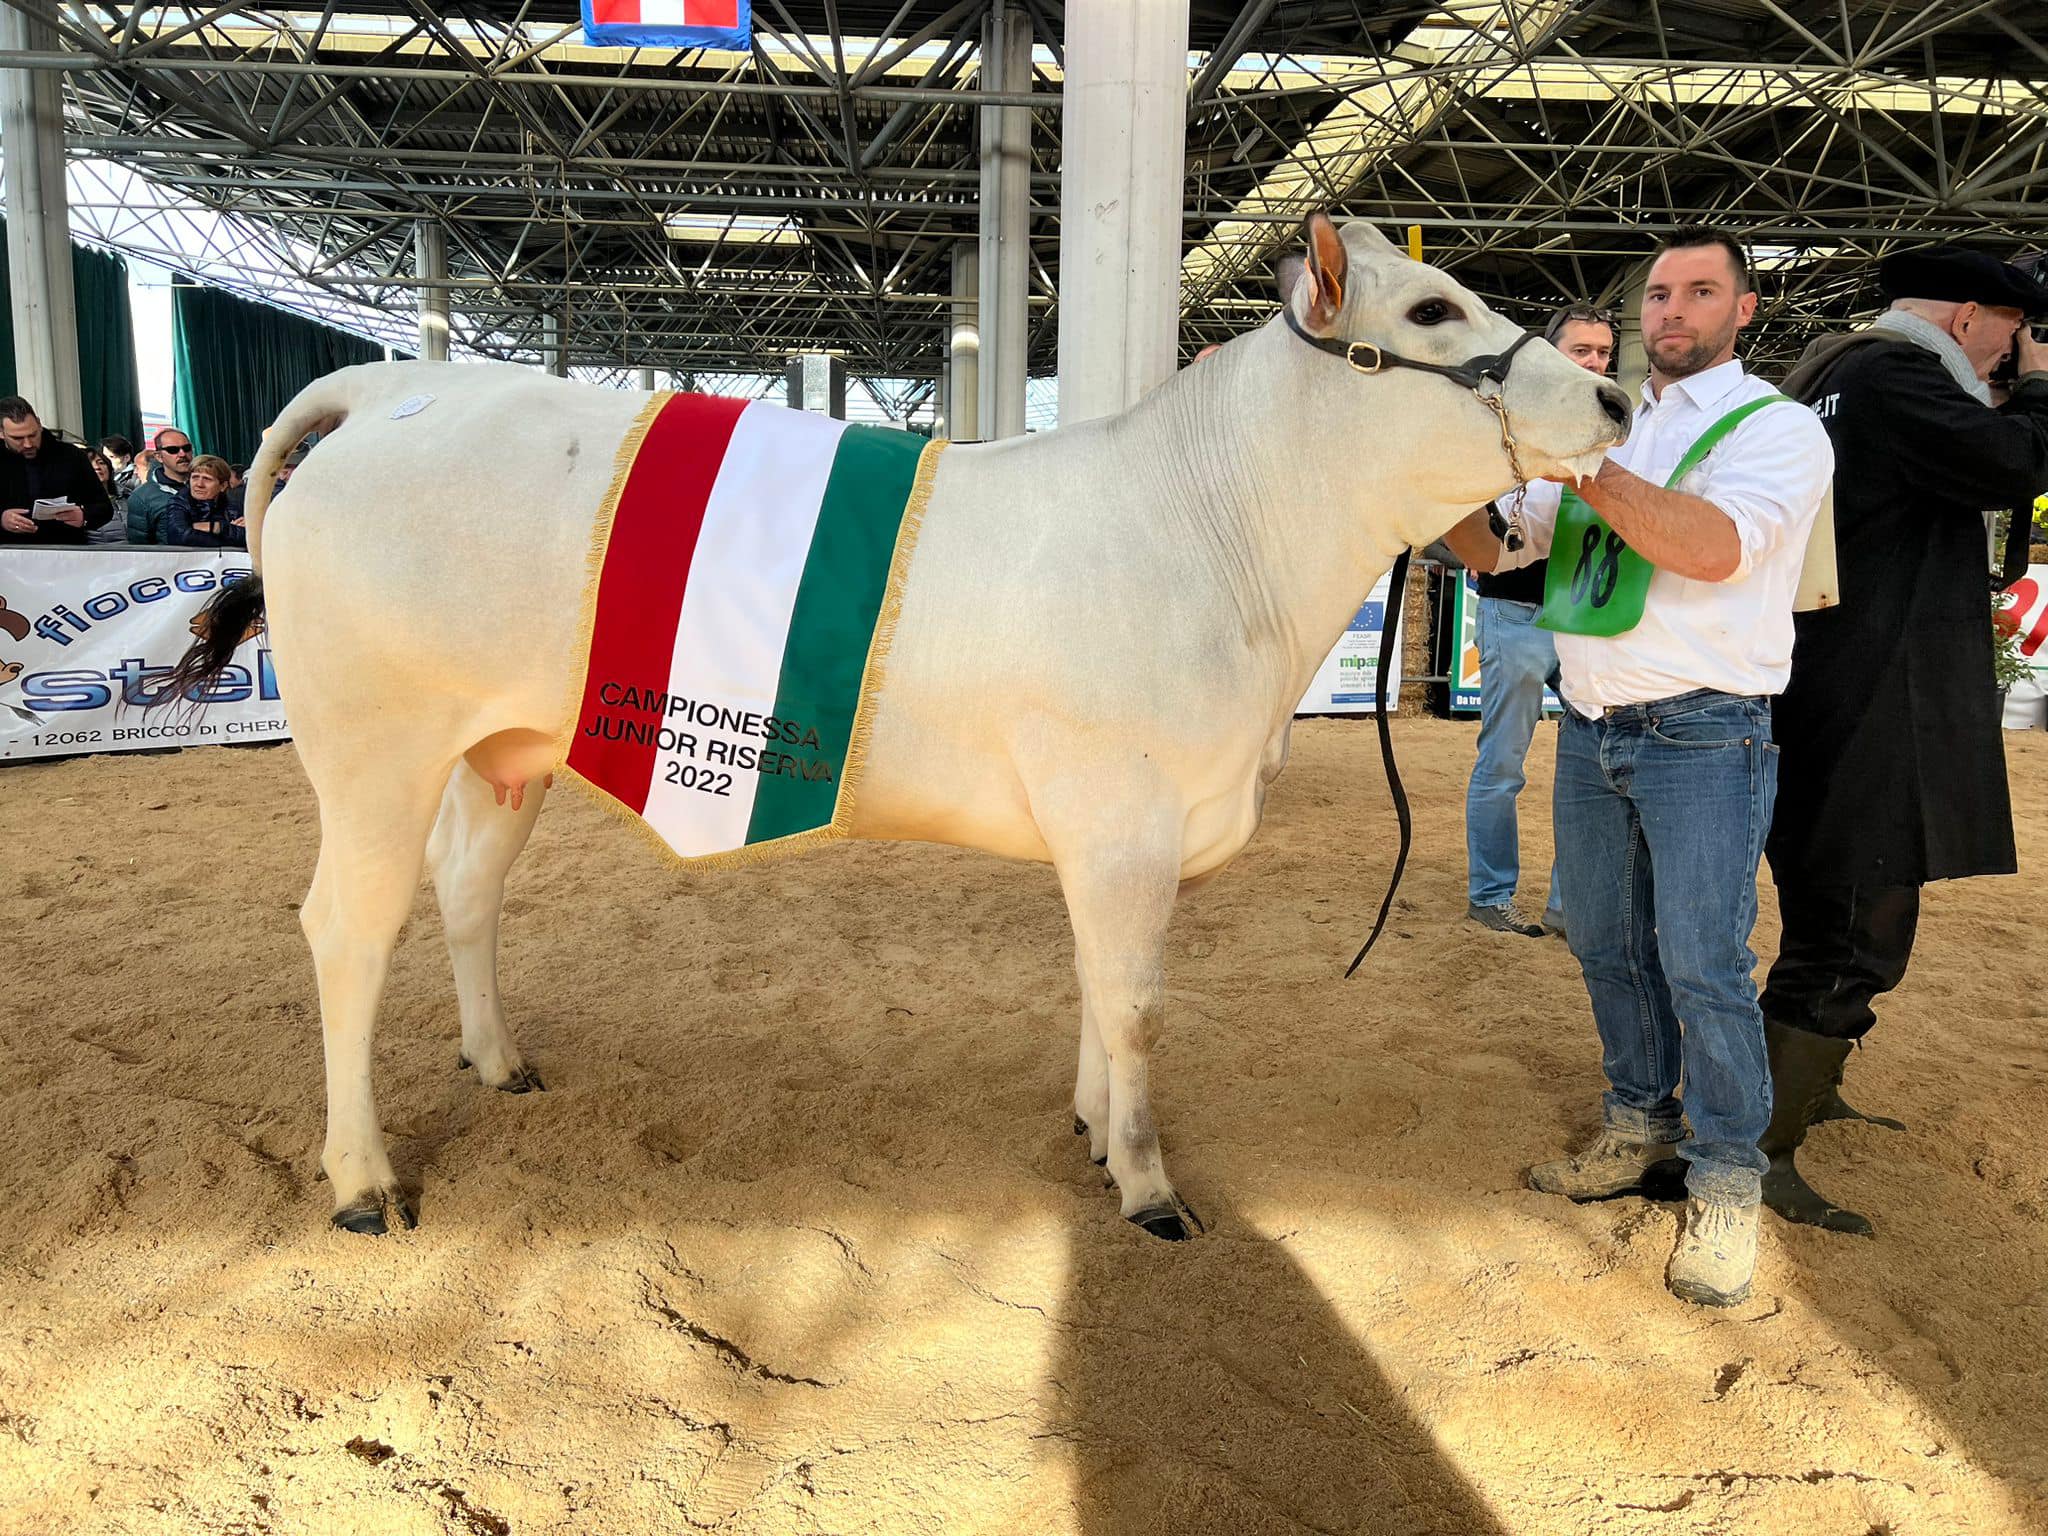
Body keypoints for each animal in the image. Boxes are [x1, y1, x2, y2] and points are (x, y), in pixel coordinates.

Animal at [172, 219, 1630, 1236]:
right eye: (1434, 307)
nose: (1616, 400)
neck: (1219, 531)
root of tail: (391, 392)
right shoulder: (1124, 815)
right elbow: (1136, 1003)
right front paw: (1147, 1183)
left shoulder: (1112, 838)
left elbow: (1095, 988)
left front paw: (1092, 1131)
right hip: (374, 746)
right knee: (348, 930)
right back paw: (361, 1180)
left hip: (500, 748)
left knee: (465, 890)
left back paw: (498, 1062)